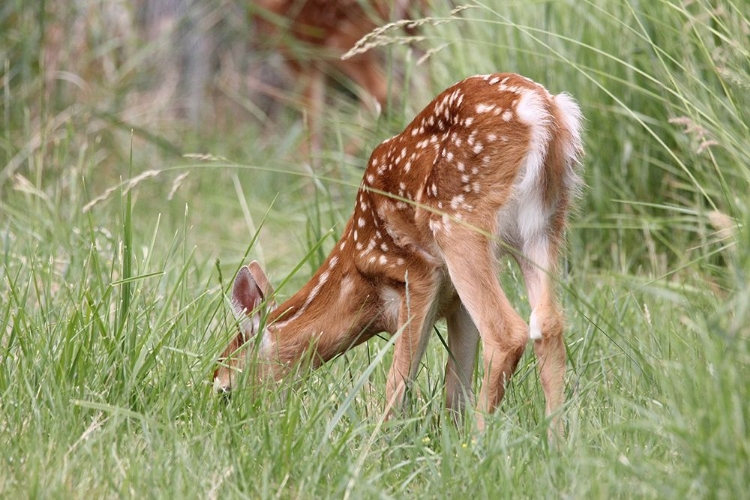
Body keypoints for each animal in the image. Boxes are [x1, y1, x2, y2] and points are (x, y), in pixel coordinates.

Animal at [214, 73, 584, 434]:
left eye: (224, 389)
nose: (234, 423)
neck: (358, 279)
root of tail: (542, 110)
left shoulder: (414, 275)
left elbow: (400, 379)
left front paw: (377, 443)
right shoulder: (455, 303)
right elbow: (455, 386)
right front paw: (451, 438)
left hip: (459, 222)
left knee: (507, 332)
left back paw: (481, 442)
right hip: (545, 223)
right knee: (548, 324)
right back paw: (557, 442)